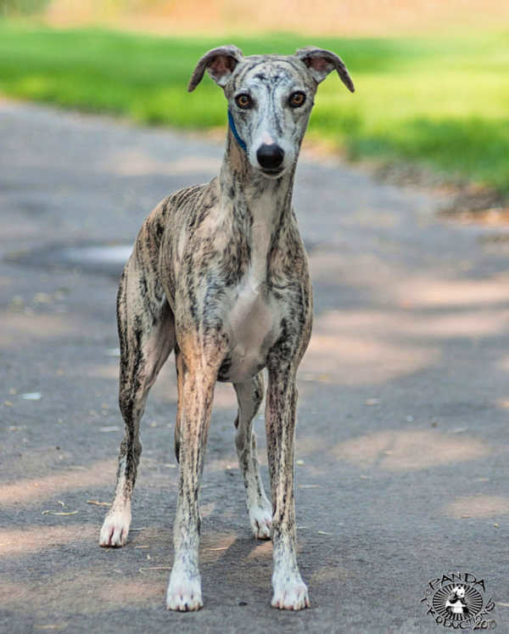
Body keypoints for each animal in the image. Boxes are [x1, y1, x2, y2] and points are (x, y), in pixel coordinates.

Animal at [98, 43, 354, 608]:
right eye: (242, 98)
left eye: (297, 96)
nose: (270, 155)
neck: (255, 227)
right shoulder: (199, 370)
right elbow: (187, 497)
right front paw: (184, 582)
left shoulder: (284, 376)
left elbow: (286, 495)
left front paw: (287, 578)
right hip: (141, 363)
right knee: (133, 441)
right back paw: (117, 520)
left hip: (249, 383)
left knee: (243, 438)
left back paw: (257, 511)